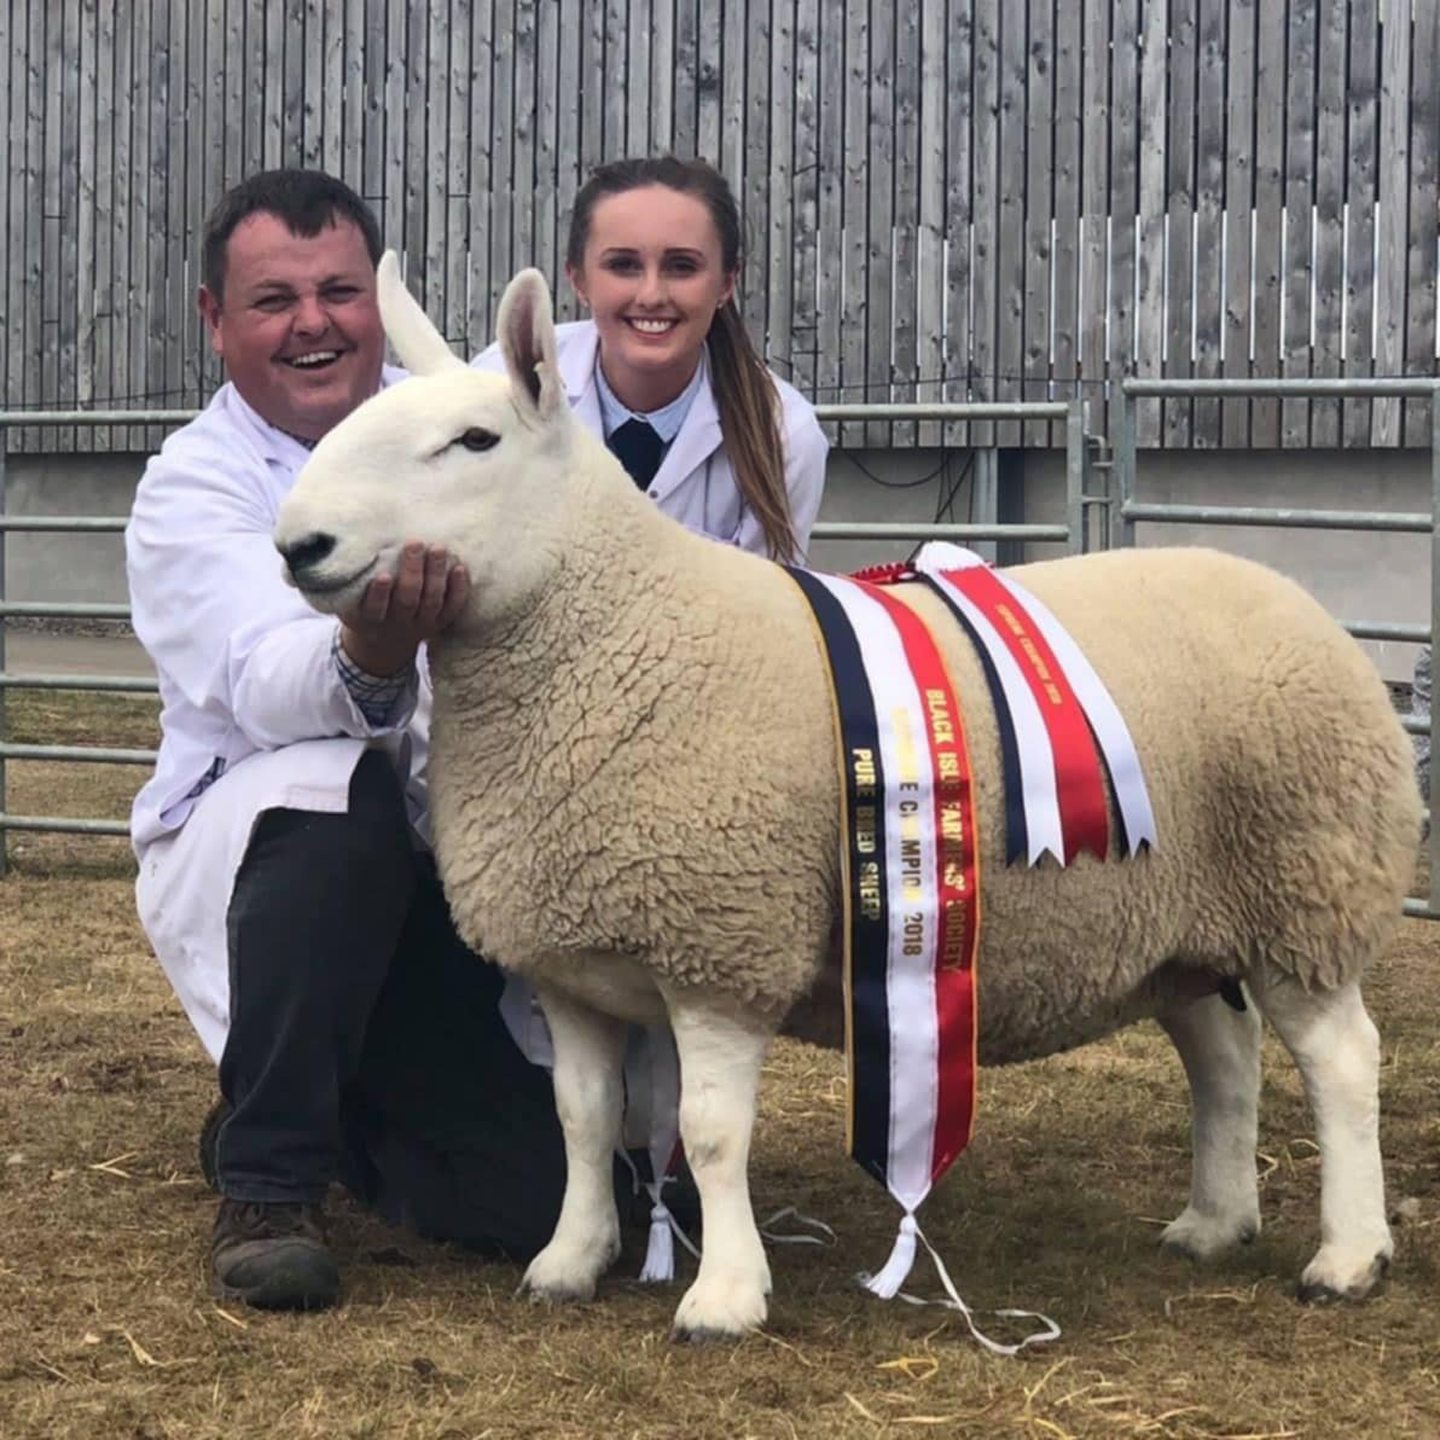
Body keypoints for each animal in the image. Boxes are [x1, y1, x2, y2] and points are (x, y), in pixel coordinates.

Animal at [275, 253, 1422, 1342]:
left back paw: (1349, 1257)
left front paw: (726, 1297)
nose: (298, 545)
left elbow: (710, 1133)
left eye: (474, 441)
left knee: (1342, 1062)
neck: (612, 633)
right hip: (1185, 917)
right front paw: (569, 1261)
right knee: (1224, 1059)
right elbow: (584, 1120)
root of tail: (1292, 599)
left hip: (1307, 883)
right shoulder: (572, 959)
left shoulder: (723, 941)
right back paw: (1214, 1223)